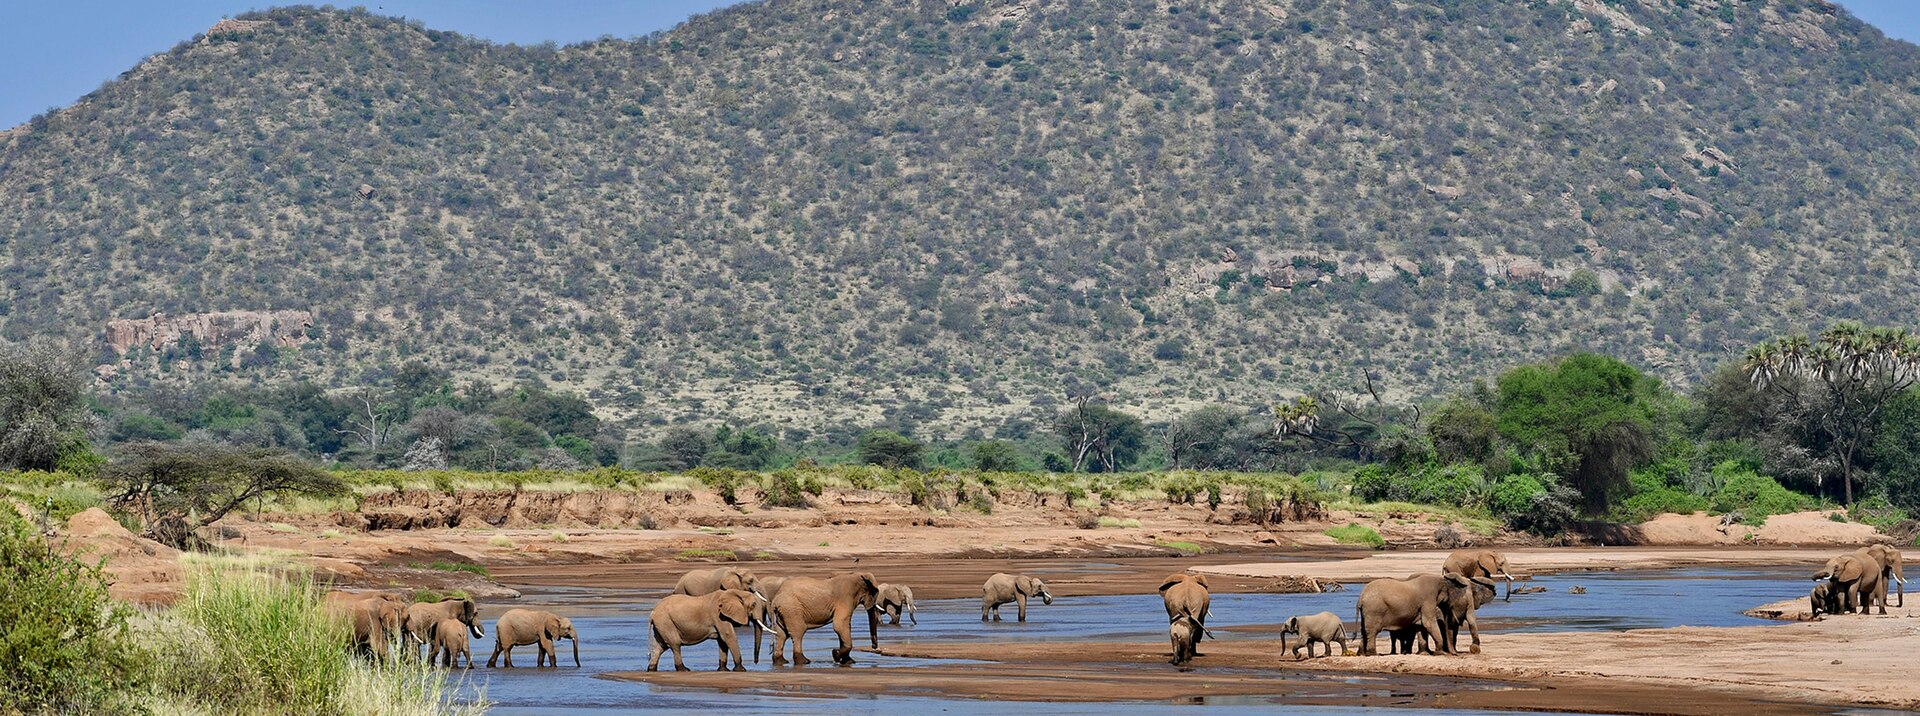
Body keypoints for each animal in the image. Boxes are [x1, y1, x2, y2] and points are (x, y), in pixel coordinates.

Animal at [1356, 573, 1484, 656]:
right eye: (1449, 603)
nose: (1455, 654)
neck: (1441, 580)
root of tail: (1361, 597)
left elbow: (1422, 625)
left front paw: (1426, 654)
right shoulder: (1428, 599)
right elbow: (1428, 623)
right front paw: (1439, 653)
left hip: (1367, 612)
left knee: (1363, 630)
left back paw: (1362, 654)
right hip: (1374, 610)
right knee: (1372, 631)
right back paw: (1373, 654)